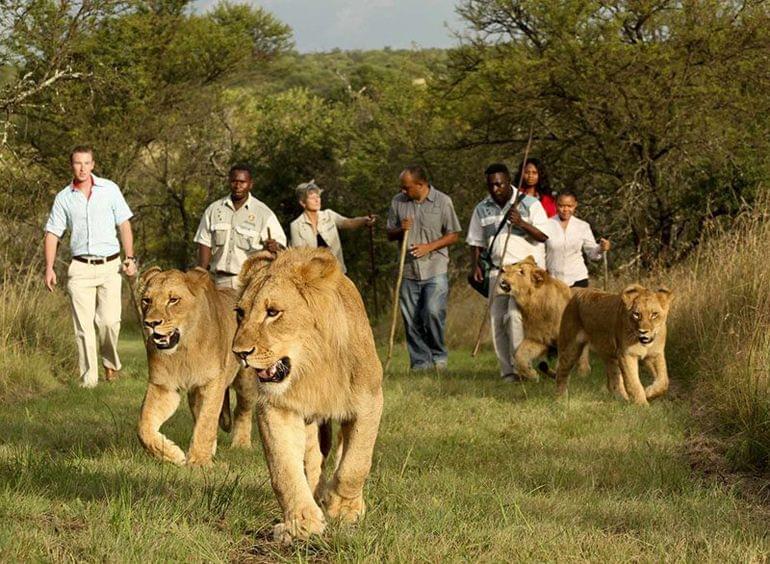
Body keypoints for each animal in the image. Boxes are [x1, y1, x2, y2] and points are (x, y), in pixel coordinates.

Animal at [137, 267, 258, 466]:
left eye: (173, 300)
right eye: (147, 300)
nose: (151, 323)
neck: (182, 351)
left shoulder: (212, 383)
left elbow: (207, 421)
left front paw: (199, 461)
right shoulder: (163, 386)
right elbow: (144, 426)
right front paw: (173, 454)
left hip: (245, 383)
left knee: (242, 410)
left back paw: (241, 444)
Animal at [231, 248, 383, 543]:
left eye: (273, 312)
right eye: (240, 313)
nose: (239, 353)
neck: (313, 368)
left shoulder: (370, 402)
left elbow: (355, 464)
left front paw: (343, 508)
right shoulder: (277, 408)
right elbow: (284, 470)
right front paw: (302, 523)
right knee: (312, 463)